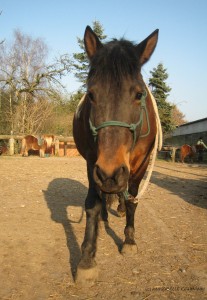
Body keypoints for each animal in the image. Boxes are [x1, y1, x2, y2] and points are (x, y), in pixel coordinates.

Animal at [73, 25, 160, 284]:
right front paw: (87, 259)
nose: (110, 172)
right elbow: (92, 204)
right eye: (91, 94)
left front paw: (129, 240)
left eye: (139, 94)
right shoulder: (93, 163)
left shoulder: (138, 165)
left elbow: (132, 200)